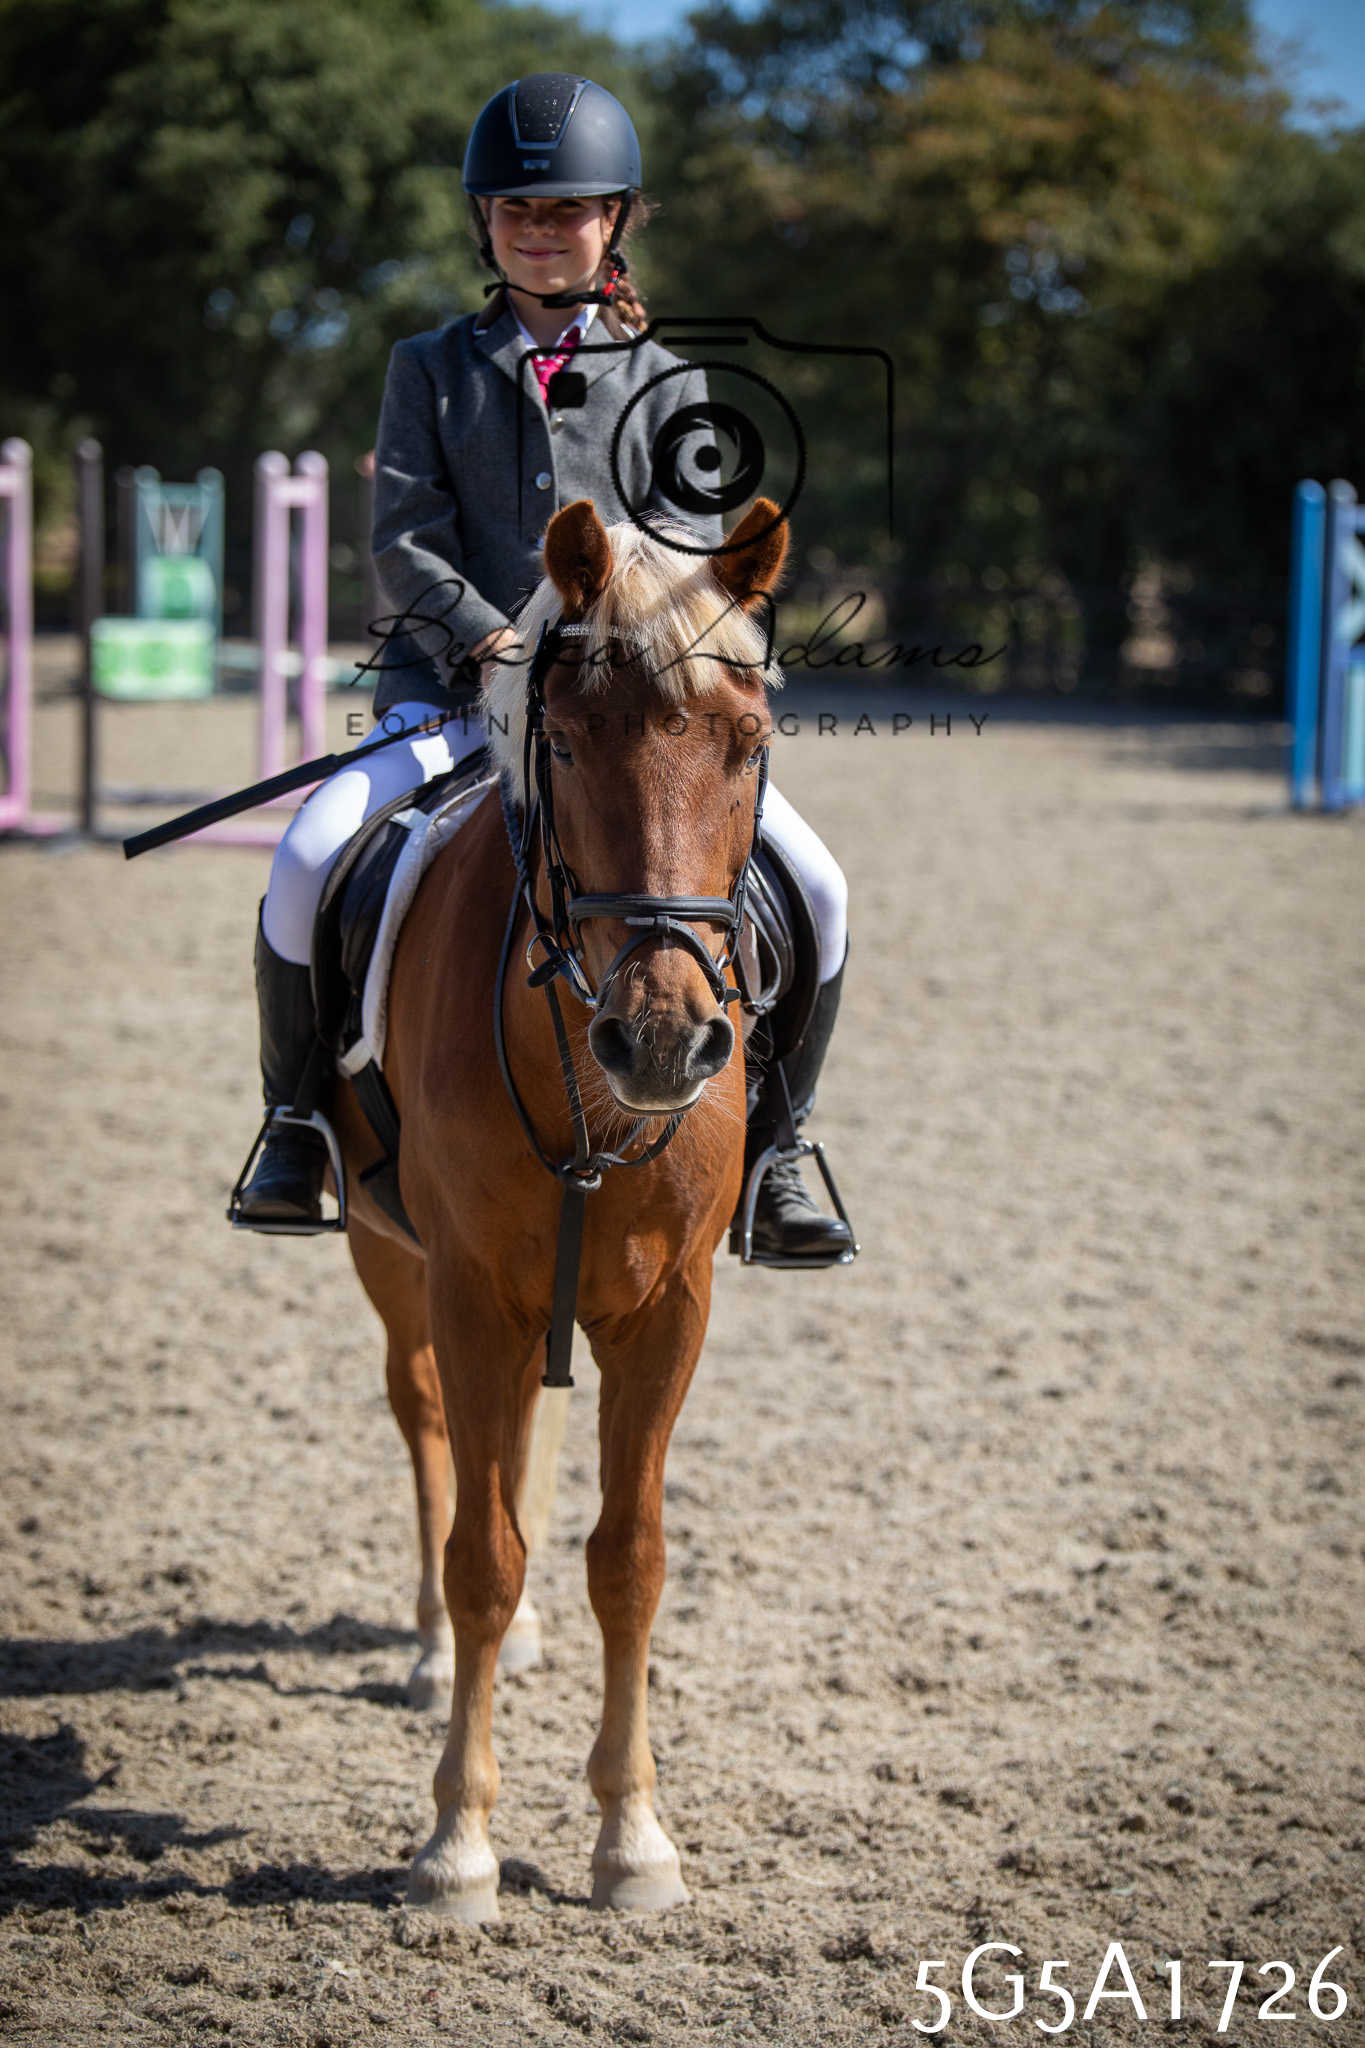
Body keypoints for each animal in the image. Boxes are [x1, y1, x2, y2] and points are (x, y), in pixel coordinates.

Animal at [331, 494, 788, 1920]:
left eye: (749, 744)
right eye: (573, 742)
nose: (665, 1040)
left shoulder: (668, 1309)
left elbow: (627, 1560)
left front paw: (634, 1836)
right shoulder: (469, 1288)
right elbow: (482, 1555)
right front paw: (456, 1844)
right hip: (394, 1263)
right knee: (430, 1423)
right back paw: (433, 1652)